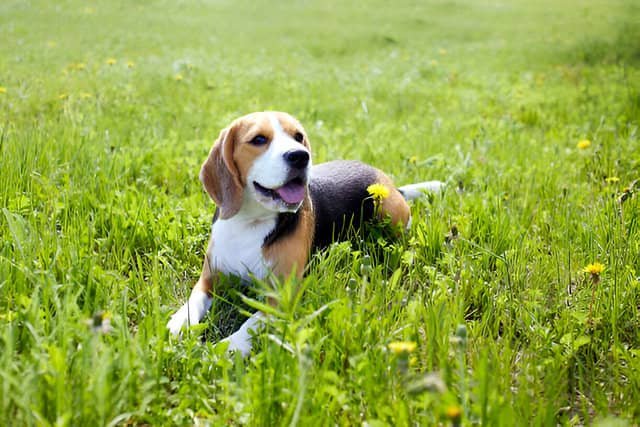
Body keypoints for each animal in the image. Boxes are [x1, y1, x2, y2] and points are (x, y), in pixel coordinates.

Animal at [168, 110, 442, 354]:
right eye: (259, 139)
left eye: (298, 137)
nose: (300, 156)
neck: (250, 223)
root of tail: (391, 184)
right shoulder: (209, 279)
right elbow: (193, 301)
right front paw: (176, 326)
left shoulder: (282, 295)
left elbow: (250, 324)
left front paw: (226, 348)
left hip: (386, 207)